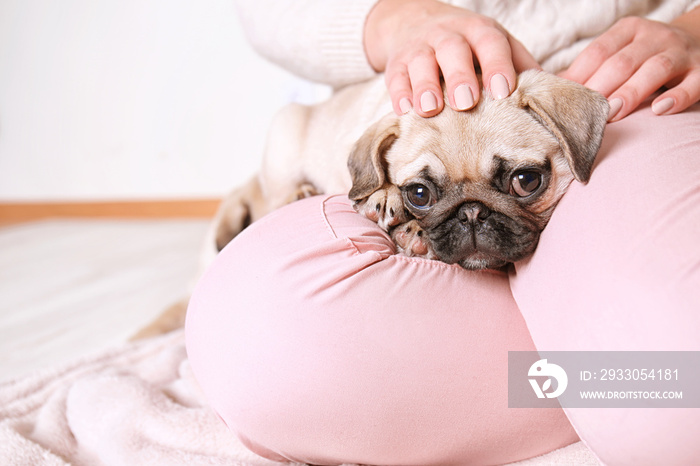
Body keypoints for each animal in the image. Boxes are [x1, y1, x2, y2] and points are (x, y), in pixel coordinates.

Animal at [213, 71, 608, 272]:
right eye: (419, 194)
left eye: (525, 182)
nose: (471, 212)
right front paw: (387, 199)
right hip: (284, 142)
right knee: (267, 202)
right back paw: (301, 193)